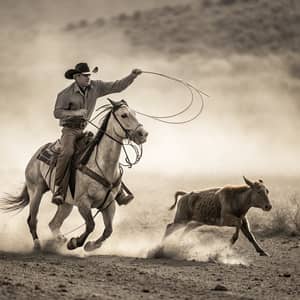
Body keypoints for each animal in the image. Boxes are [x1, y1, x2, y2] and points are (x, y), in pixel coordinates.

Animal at [0, 99, 148, 252]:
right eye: (124, 115)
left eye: (135, 114)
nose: (143, 134)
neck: (101, 165)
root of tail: (37, 154)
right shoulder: (83, 202)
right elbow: (91, 225)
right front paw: (74, 243)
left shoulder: (109, 204)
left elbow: (108, 230)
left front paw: (91, 245)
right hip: (35, 191)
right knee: (32, 220)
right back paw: (38, 245)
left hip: (66, 204)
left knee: (53, 223)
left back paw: (59, 239)